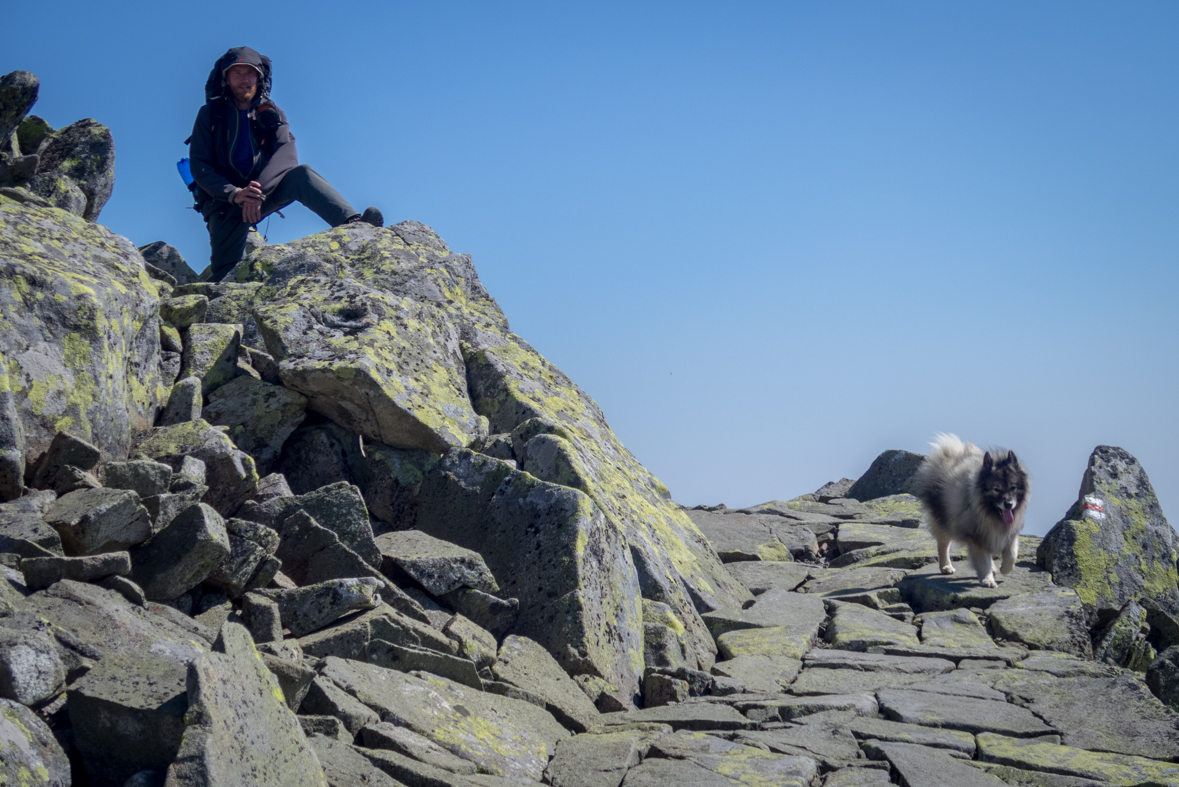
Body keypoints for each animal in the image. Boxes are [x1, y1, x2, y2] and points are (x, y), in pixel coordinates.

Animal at [914, 433, 1028, 586]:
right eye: (996, 489)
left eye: (1013, 487)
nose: (1009, 504)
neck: (990, 514)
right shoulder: (977, 536)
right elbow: (983, 560)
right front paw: (987, 580)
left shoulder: (1008, 532)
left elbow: (1011, 554)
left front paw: (1004, 568)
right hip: (944, 522)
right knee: (943, 545)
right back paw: (946, 566)